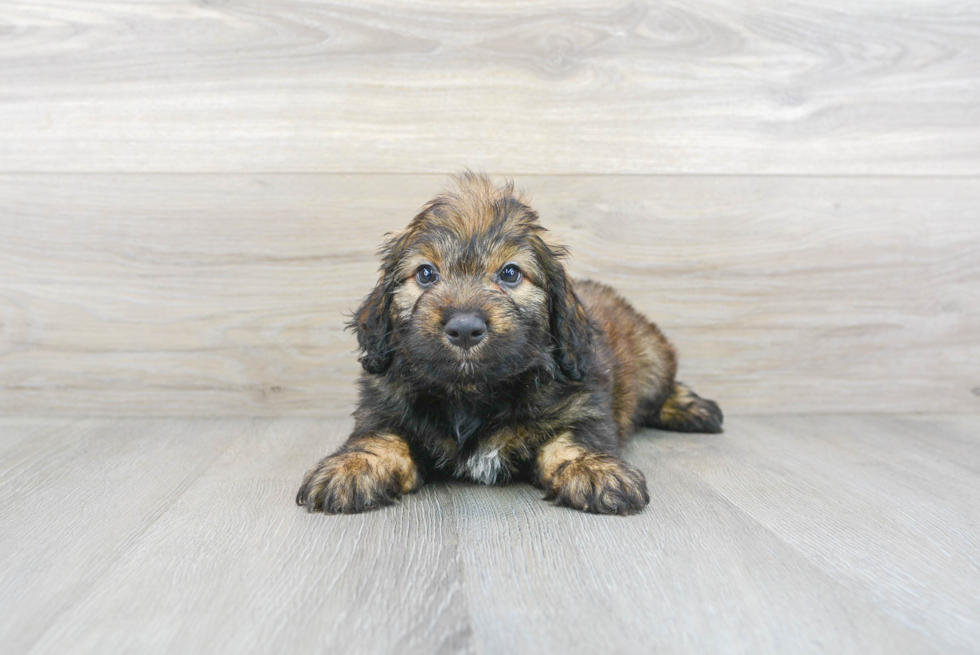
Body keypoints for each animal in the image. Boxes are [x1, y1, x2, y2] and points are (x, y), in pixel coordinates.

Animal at [296, 174, 720, 516]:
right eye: (426, 274)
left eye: (510, 273)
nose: (465, 328)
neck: (473, 396)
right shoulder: (383, 407)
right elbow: (378, 438)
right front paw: (351, 467)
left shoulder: (583, 404)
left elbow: (575, 438)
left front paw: (593, 469)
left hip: (653, 358)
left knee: (664, 387)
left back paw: (693, 408)